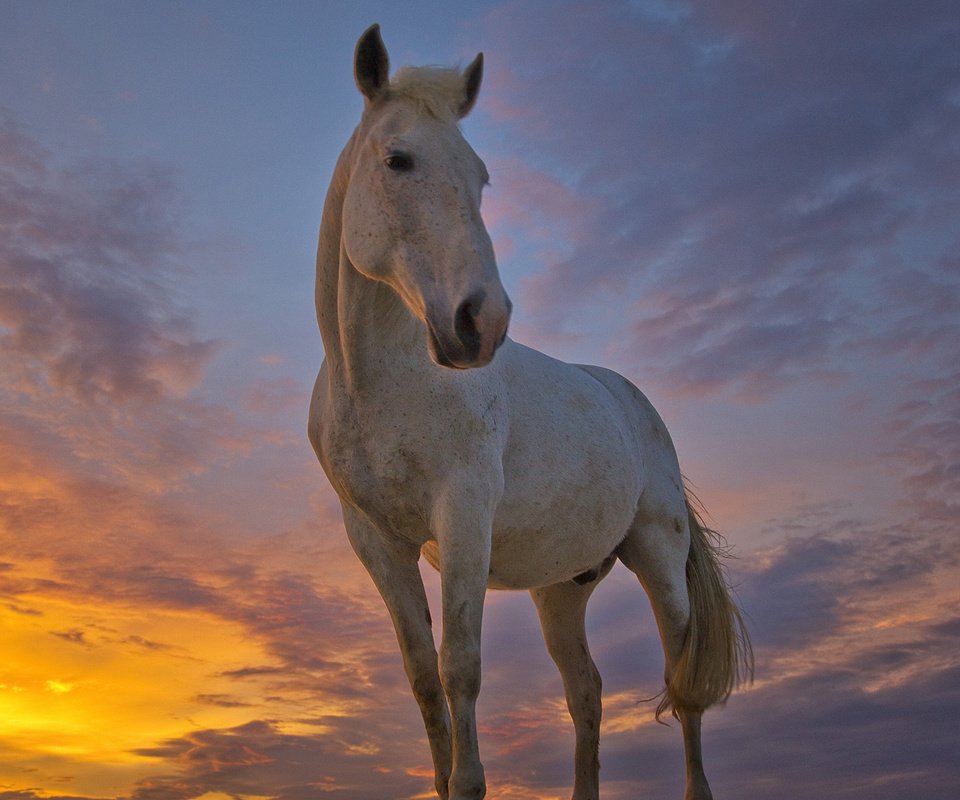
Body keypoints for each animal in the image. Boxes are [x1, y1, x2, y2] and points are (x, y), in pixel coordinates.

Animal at [312, 25, 752, 800]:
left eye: (481, 177)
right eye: (398, 159)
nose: (480, 322)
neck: (378, 384)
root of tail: (632, 401)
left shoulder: (463, 518)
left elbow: (461, 667)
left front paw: (468, 781)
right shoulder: (376, 543)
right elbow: (424, 679)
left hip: (658, 556)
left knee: (683, 684)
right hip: (560, 591)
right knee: (587, 691)